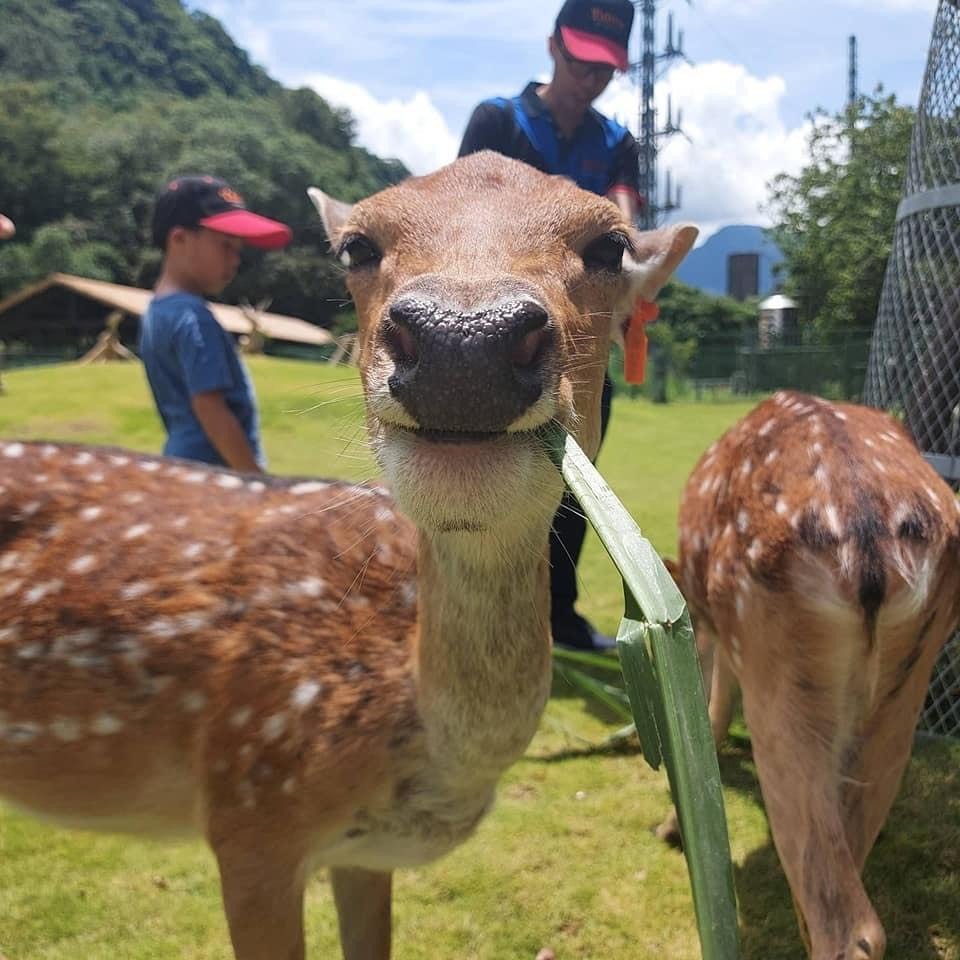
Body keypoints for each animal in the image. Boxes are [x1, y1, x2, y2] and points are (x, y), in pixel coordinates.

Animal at [660, 390, 960, 960]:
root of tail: (867, 536)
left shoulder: (717, 630)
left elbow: (713, 710)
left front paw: (670, 828)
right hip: (904, 684)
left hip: (774, 665)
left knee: (848, 923)